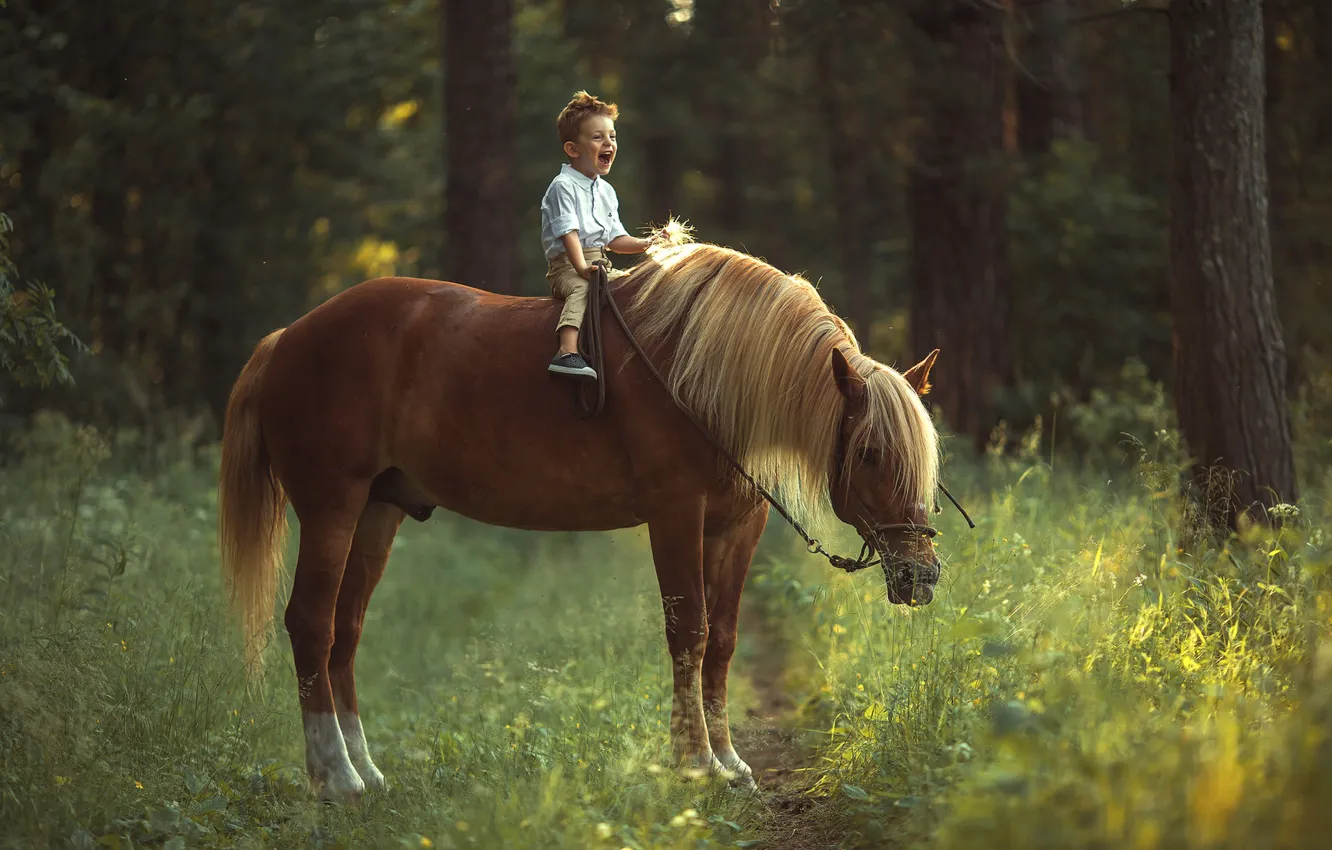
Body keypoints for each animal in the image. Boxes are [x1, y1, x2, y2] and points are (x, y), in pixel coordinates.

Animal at [217, 237, 944, 802]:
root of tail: (288, 338)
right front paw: (694, 763)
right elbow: (690, 633)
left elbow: (724, 640)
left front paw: (730, 761)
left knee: (345, 632)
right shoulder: (675, 515)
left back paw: (363, 770)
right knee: (310, 625)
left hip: (376, 514)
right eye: (871, 451)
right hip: (332, 509)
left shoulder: (736, 529)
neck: (704, 374)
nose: (922, 574)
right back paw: (334, 777)